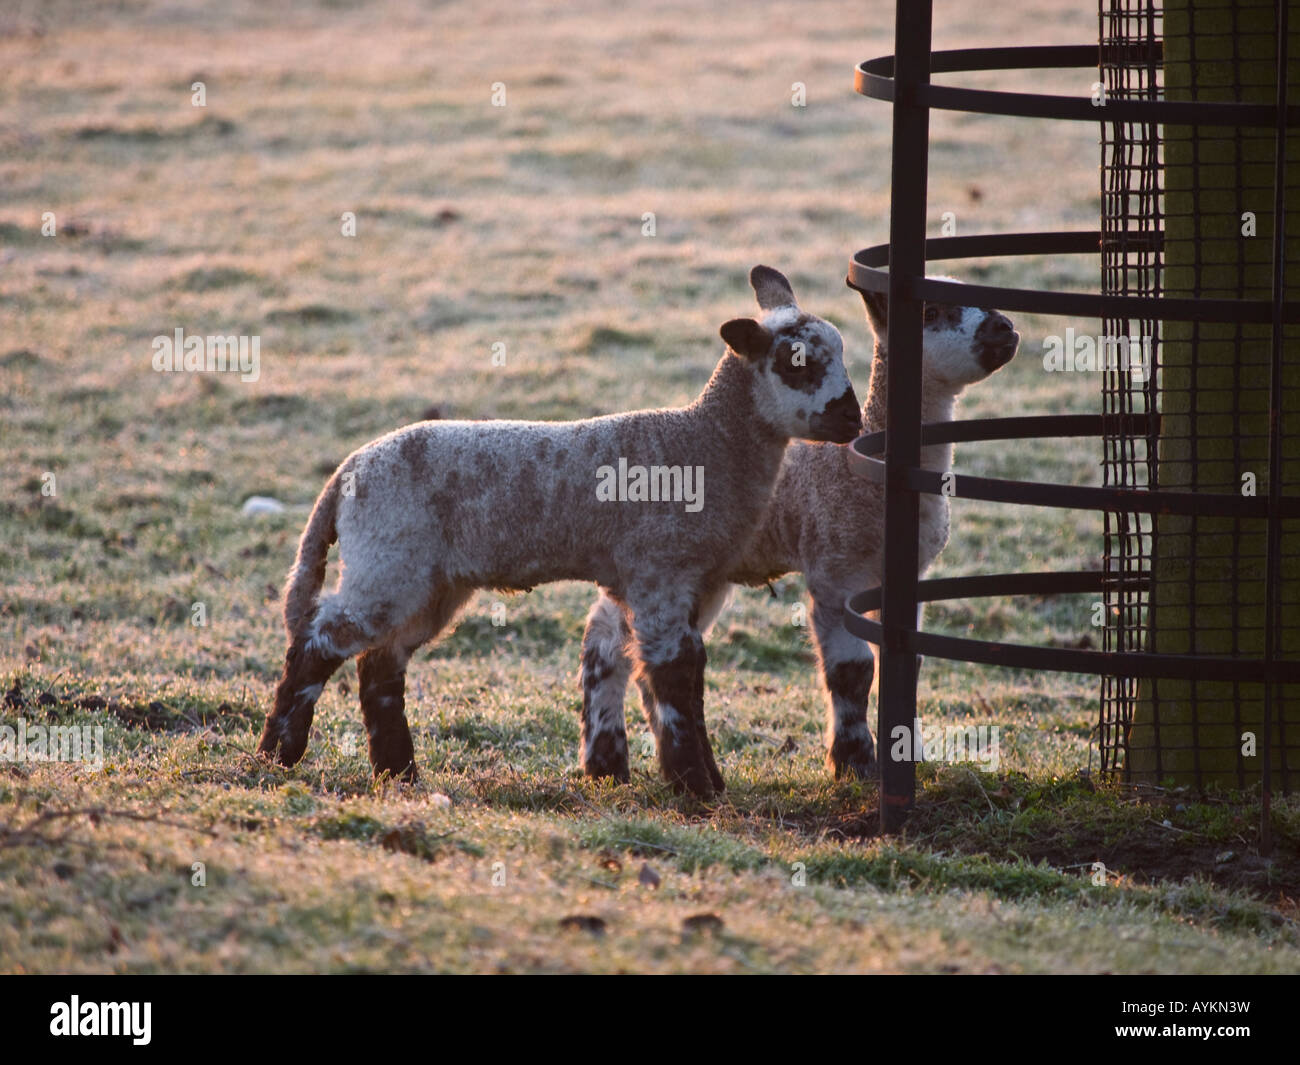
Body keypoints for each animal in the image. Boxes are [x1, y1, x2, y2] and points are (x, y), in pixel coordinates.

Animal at [255, 265, 862, 797]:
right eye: (796, 364)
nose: (852, 420)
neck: (703, 443)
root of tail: (346, 473)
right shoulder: (659, 571)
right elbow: (674, 676)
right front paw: (696, 787)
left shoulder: (697, 581)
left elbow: (681, 676)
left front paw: (702, 779)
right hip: (387, 560)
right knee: (319, 640)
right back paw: (279, 752)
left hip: (430, 581)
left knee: (380, 665)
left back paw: (397, 772)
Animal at [578, 280, 1018, 785]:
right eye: (931, 311)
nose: (1004, 327)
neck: (863, 472)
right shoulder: (835, 565)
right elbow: (852, 670)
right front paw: (853, 764)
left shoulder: (912, 574)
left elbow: (909, 657)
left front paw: (907, 754)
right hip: (650, 560)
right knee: (606, 641)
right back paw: (606, 761)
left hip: (697, 574)